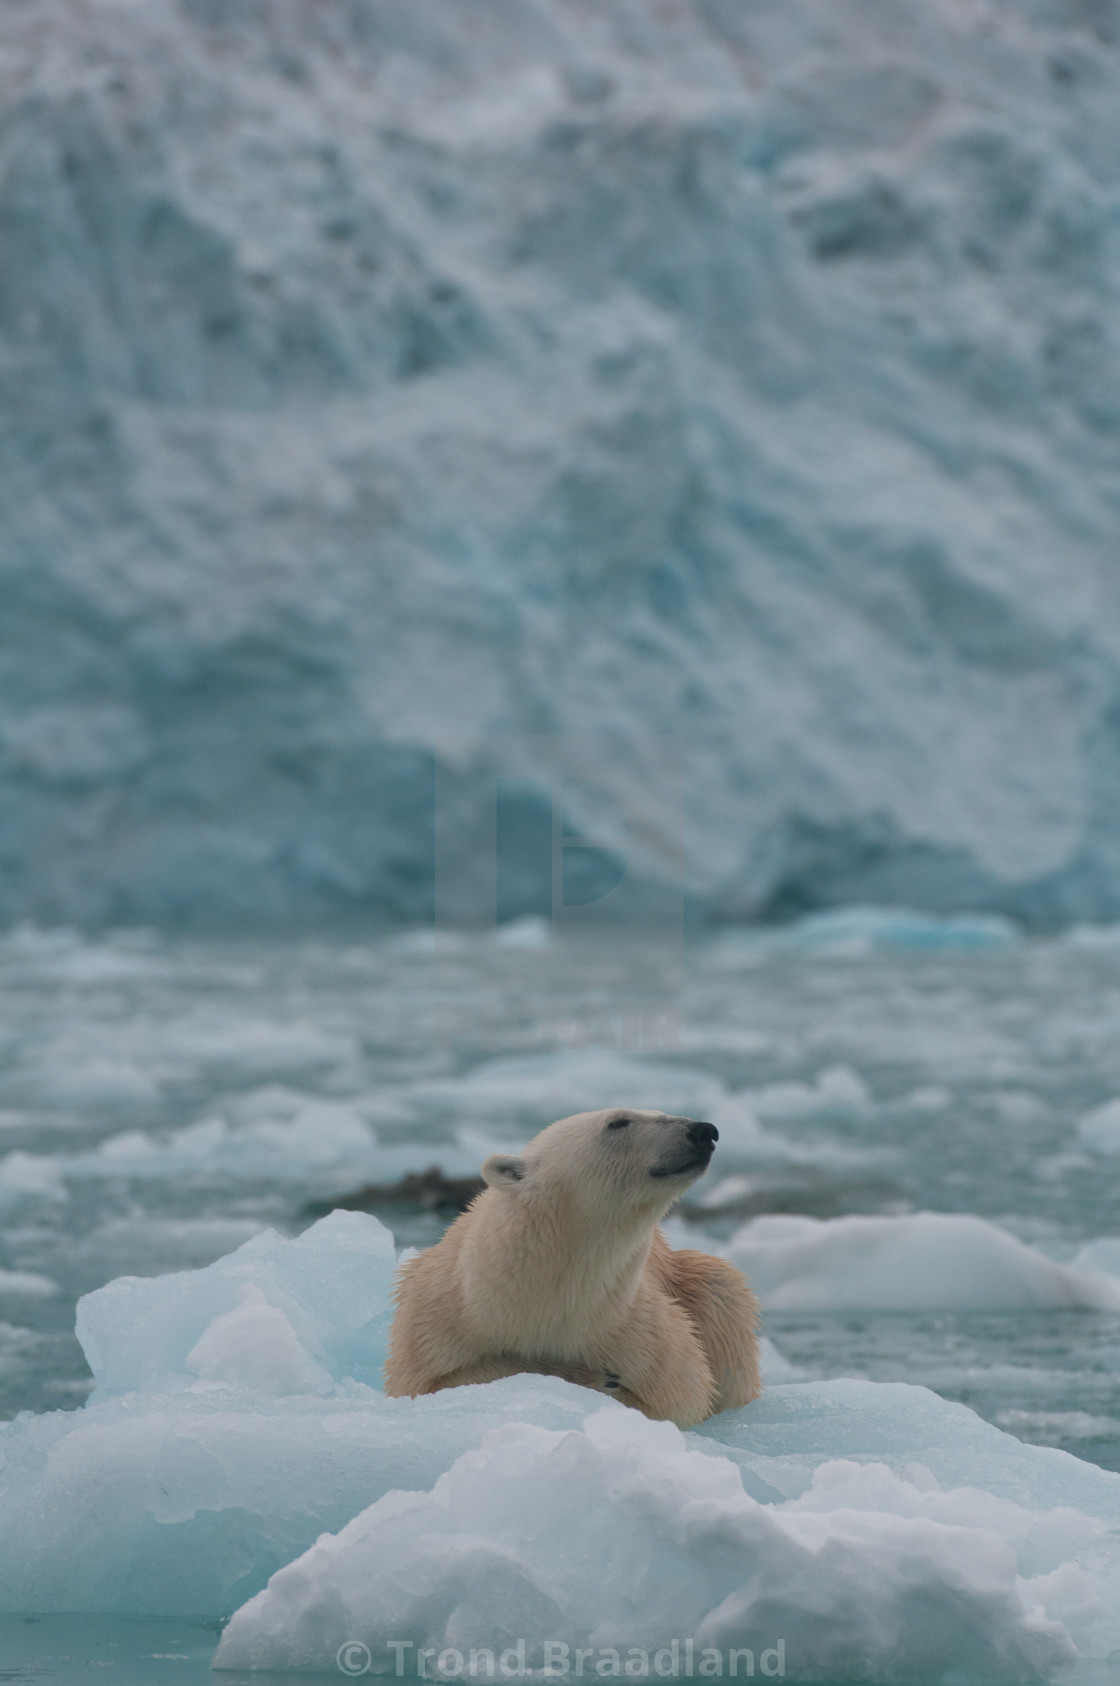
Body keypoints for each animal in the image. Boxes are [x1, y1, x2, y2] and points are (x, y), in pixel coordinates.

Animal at [384, 1112, 762, 1429]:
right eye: (618, 1121)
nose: (703, 1131)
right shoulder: (435, 1319)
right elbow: (437, 1382)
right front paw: (585, 1377)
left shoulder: (642, 1332)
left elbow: (683, 1398)